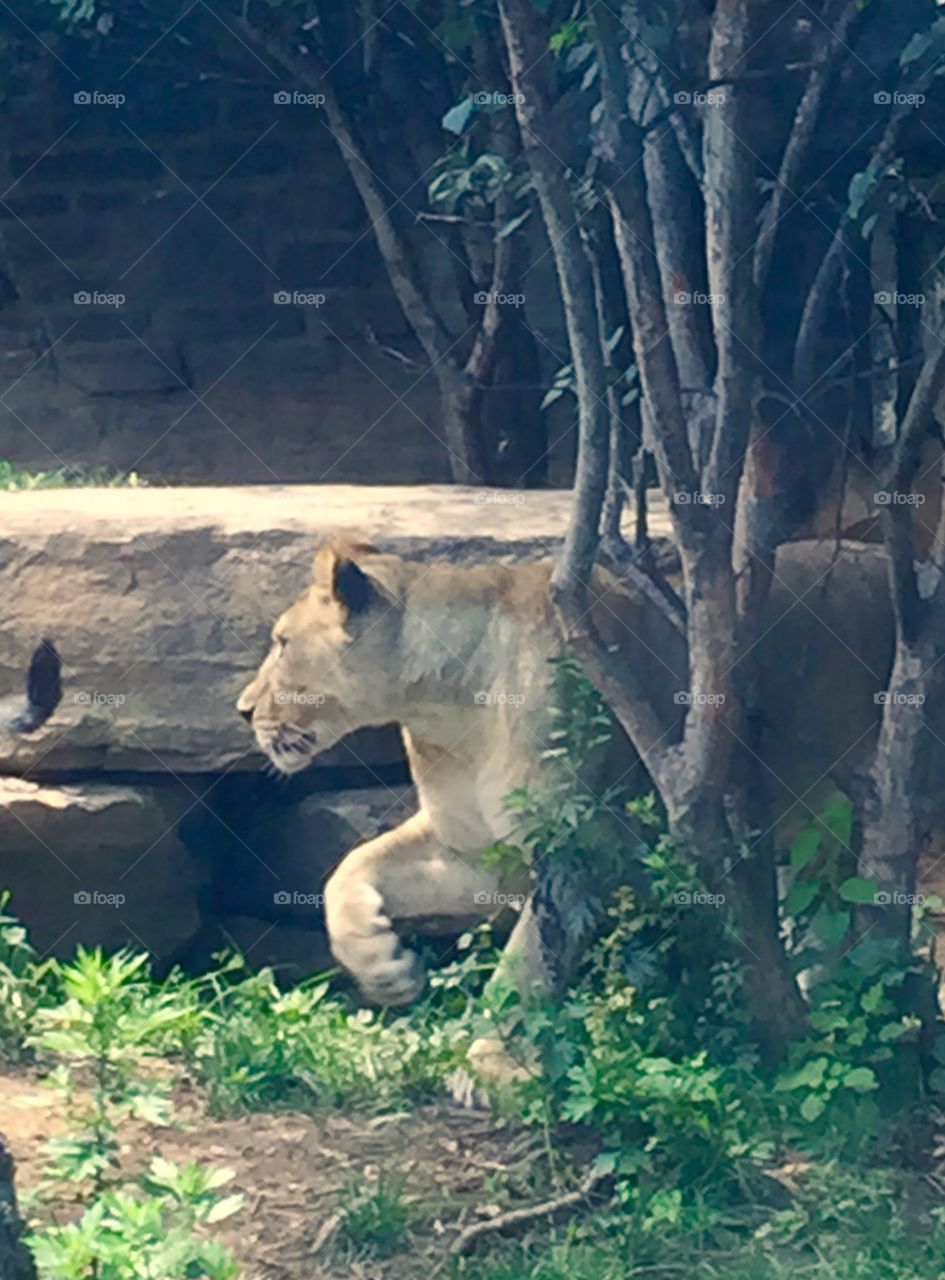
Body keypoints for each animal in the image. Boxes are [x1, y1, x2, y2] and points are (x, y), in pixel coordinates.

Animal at [236, 534, 937, 1014]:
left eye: (281, 643)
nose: (242, 709)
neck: (447, 707)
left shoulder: (581, 843)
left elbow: (529, 957)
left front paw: (487, 1063)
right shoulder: (474, 853)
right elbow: (348, 871)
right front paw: (384, 968)